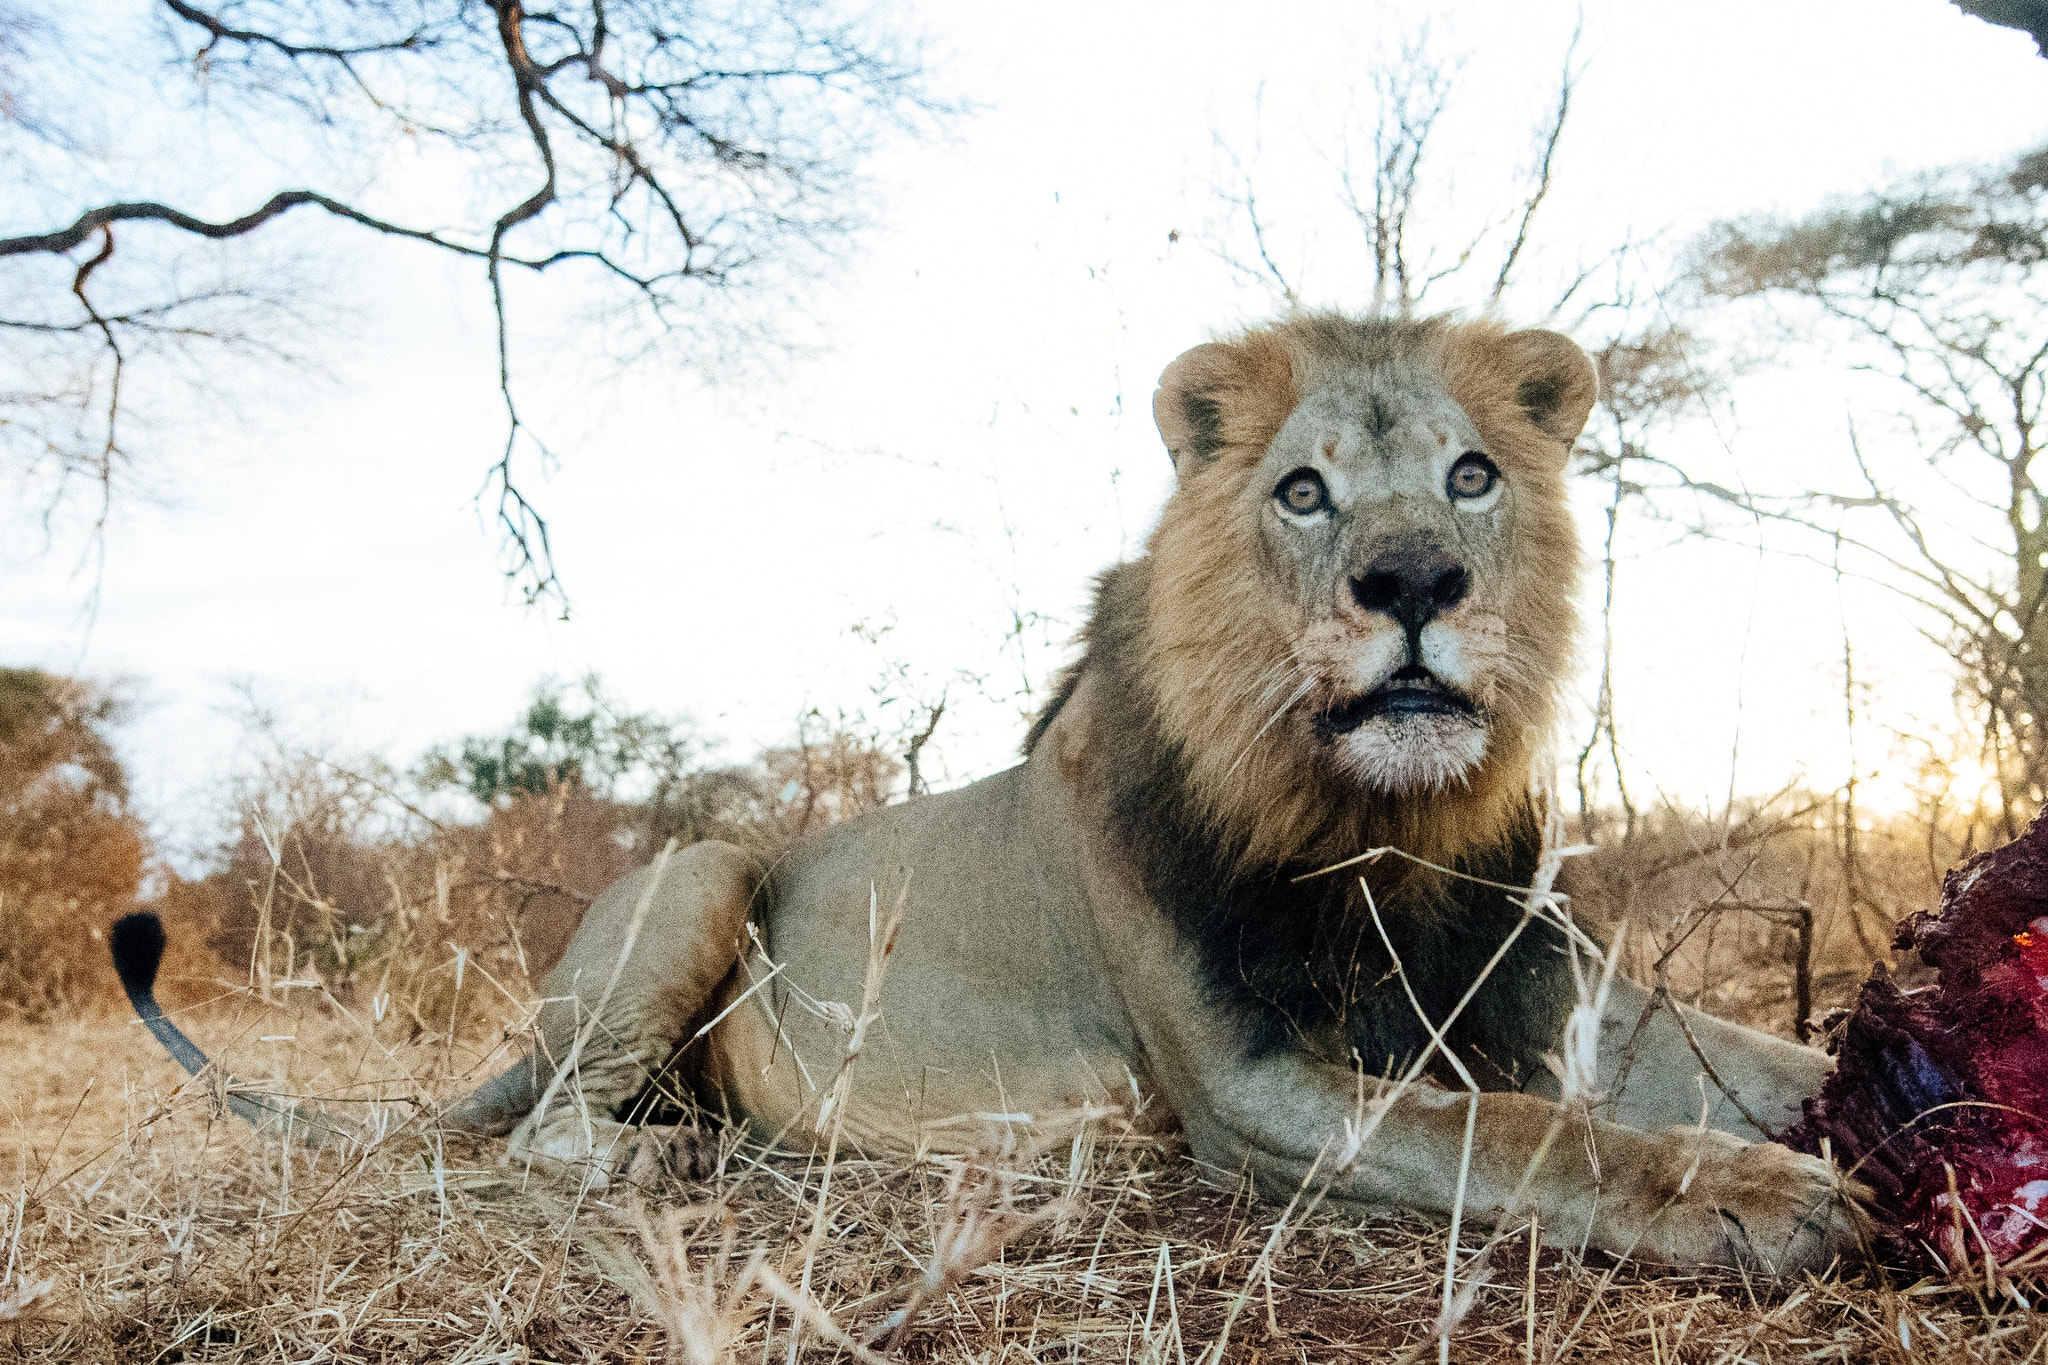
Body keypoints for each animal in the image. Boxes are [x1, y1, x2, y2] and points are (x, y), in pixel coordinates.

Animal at [114, 312, 1858, 1274]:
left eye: (1473, 476)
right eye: (1302, 491)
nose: (1417, 580)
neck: (1382, 833)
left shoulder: (1562, 998)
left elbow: (1757, 1059)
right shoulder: (1246, 1090)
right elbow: (1528, 1139)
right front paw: (1762, 1198)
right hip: (707, 864)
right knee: (546, 1127)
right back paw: (658, 1160)